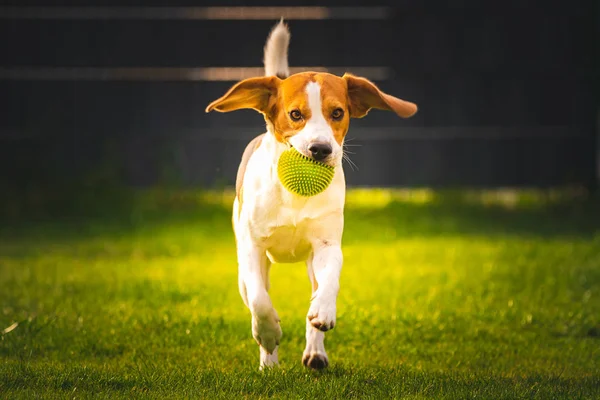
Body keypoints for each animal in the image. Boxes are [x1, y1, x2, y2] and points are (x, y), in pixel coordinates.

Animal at [206, 18, 418, 368]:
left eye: (338, 113)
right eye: (295, 114)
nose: (320, 149)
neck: (294, 196)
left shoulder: (327, 244)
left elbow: (330, 280)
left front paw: (323, 312)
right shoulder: (251, 250)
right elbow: (261, 301)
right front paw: (268, 336)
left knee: (315, 298)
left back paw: (316, 351)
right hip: (246, 269)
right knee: (255, 296)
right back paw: (269, 361)